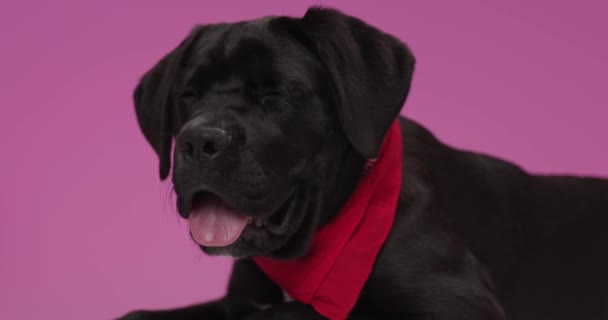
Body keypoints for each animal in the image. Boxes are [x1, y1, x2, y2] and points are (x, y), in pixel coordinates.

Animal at [122, 6, 608, 320]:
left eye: (276, 94)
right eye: (189, 95)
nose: (200, 140)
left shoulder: (455, 304)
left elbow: (304, 315)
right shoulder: (238, 298)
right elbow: (143, 314)